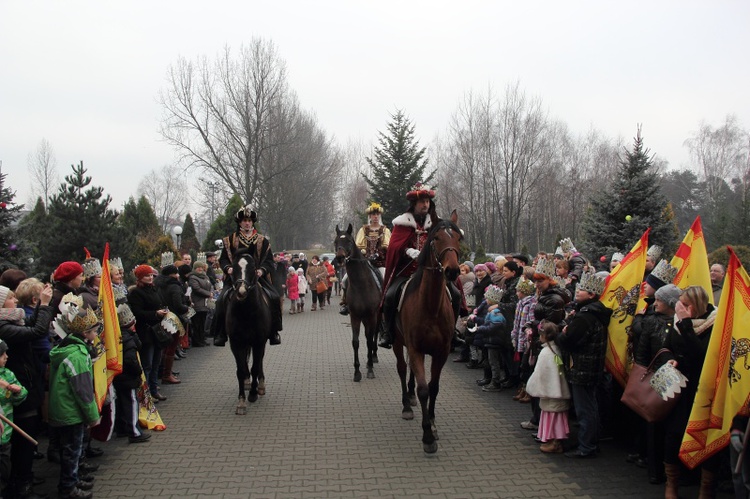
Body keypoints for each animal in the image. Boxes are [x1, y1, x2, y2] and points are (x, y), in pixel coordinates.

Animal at [229, 248, 276, 416]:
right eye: (234, 267)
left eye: (253, 268)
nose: (241, 291)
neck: (246, 311)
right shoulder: (236, 343)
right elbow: (241, 370)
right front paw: (241, 402)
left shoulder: (258, 341)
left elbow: (255, 367)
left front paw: (253, 394)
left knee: (259, 361)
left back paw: (260, 386)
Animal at [334, 225, 382, 380]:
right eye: (336, 242)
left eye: (349, 241)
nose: (340, 257)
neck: (361, 285)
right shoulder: (354, 316)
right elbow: (355, 342)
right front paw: (357, 372)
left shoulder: (371, 315)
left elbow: (369, 339)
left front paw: (370, 369)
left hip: (376, 316)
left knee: (374, 334)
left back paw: (373, 357)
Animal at [394, 210, 464, 454]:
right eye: (436, 238)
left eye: (458, 238)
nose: (452, 271)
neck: (431, 306)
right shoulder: (415, 347)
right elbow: (424, 389)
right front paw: (427, 437)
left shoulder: (440, 351)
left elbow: (433, 387)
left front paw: (432, 423)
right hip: (398, 342)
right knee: (402, 368)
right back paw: (407, 404)